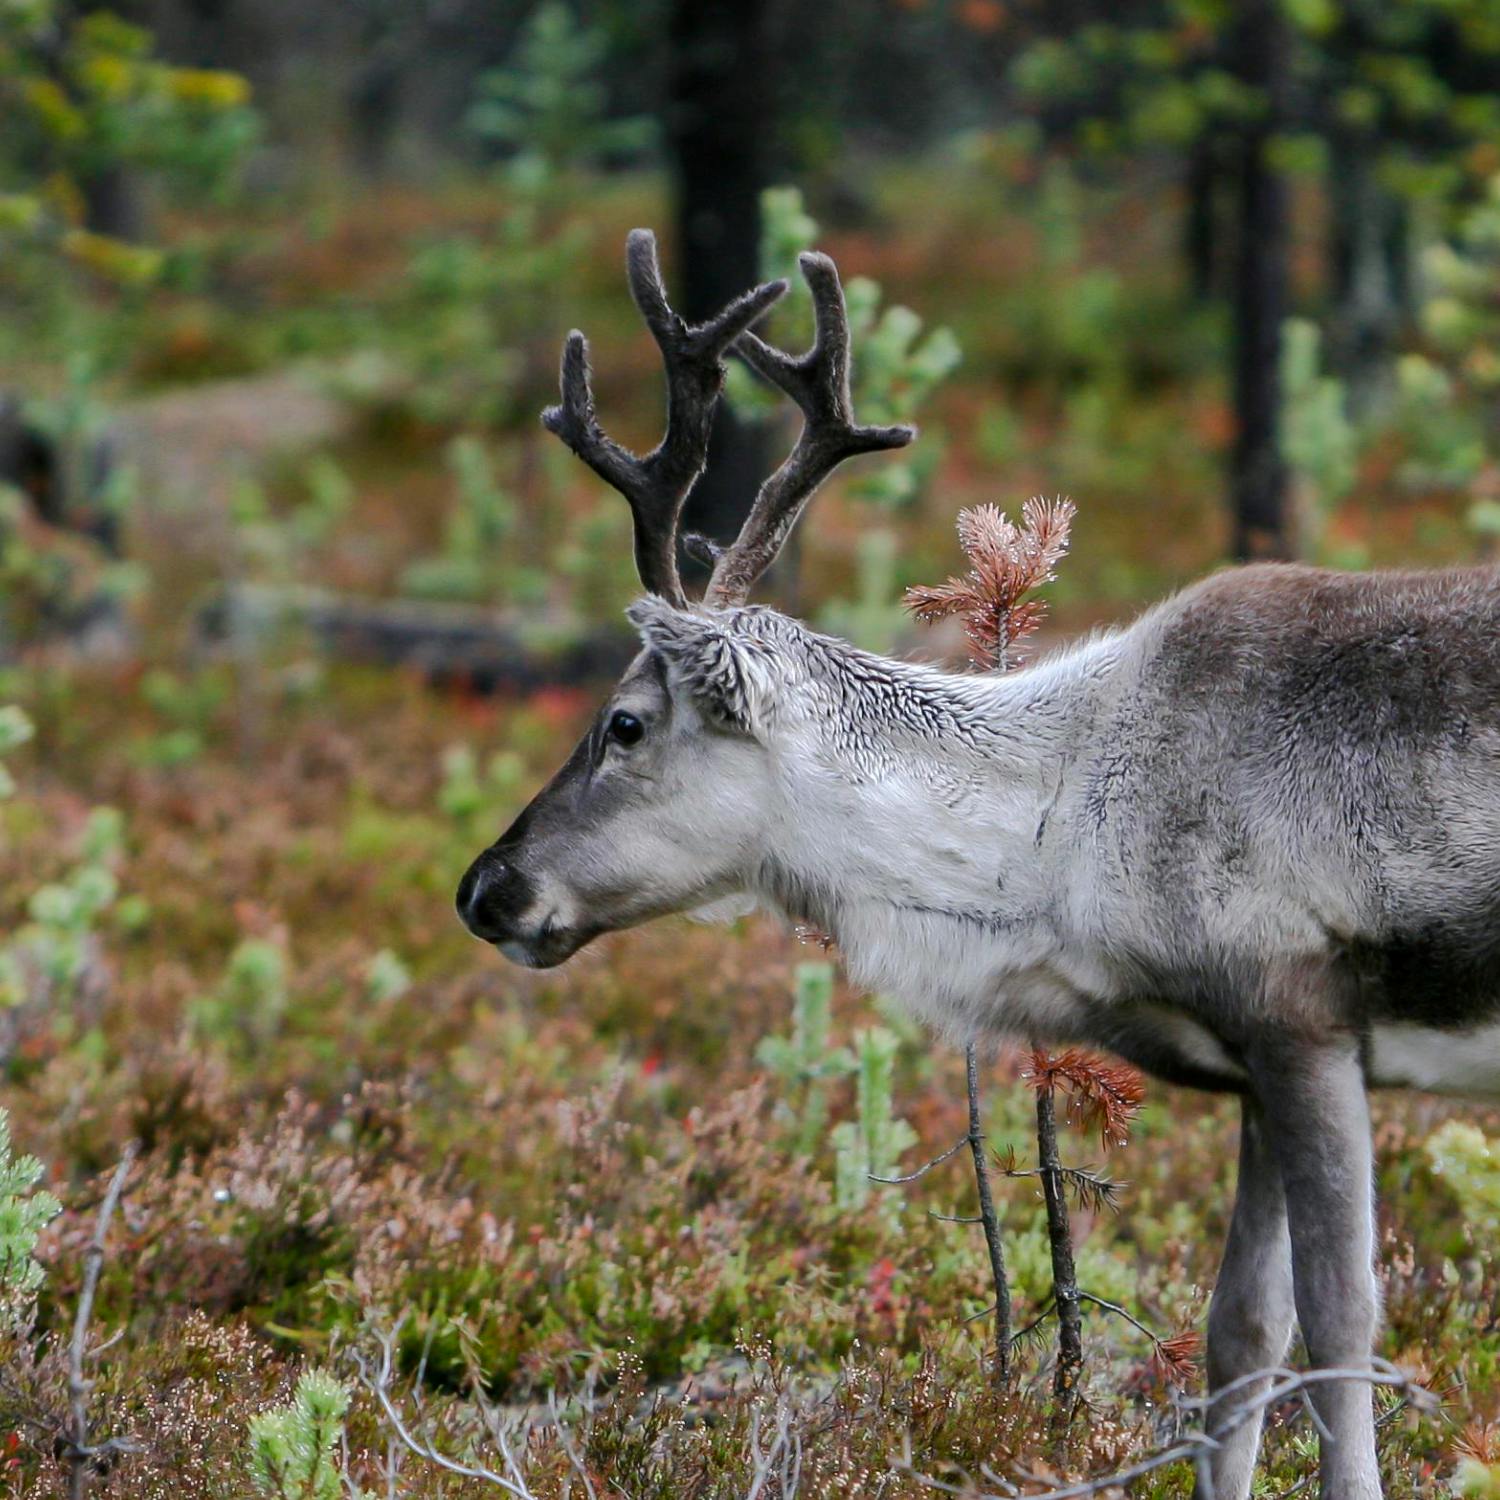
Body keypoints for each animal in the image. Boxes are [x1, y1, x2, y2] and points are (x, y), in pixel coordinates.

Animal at [456, 228, 1500, 1500]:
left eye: (625, 724)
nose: (486, 888)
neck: (1065, 840)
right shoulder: (1255, 1057)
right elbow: (1242, 1334)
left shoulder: (1306, 1020)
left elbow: (1343, 1325)